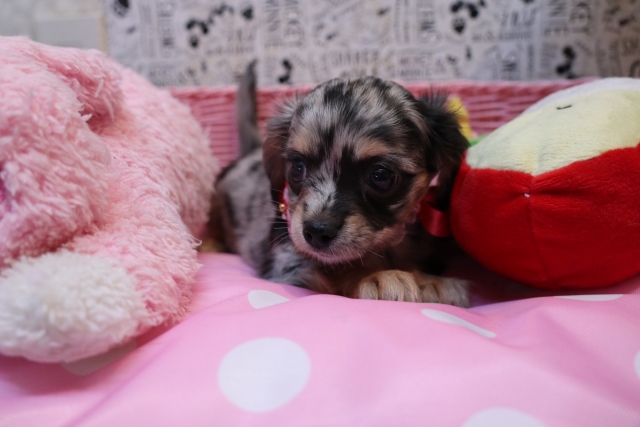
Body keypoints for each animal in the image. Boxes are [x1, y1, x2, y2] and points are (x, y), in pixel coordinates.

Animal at [212, 63, 470, 306]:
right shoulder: (288, 262)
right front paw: (377, 276)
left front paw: (432, 282)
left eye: (381, 176)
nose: (317, 232)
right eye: (297, 167)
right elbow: (334, 272)